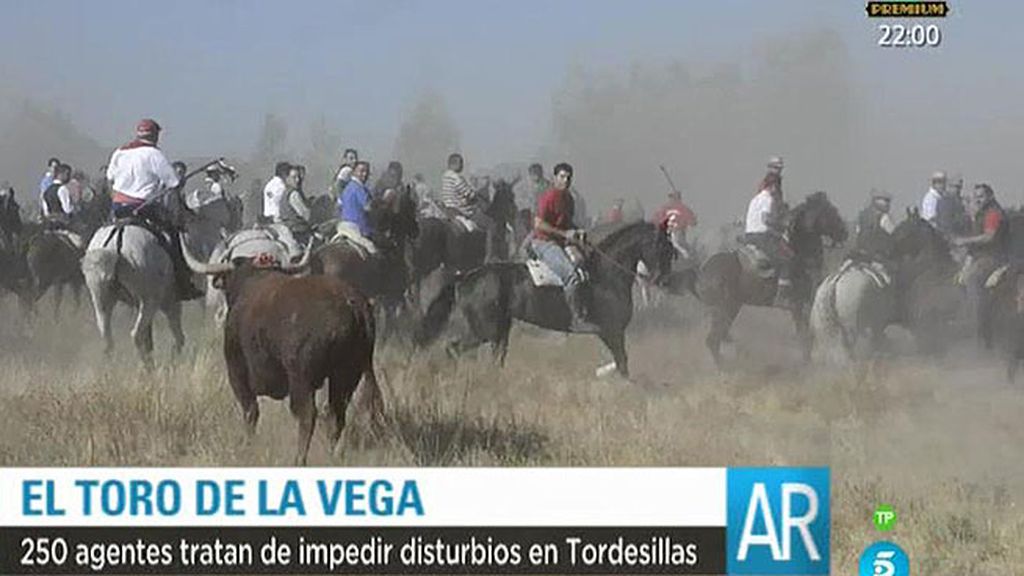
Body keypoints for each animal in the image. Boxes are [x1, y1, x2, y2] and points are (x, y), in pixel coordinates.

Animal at [182, 241, 382, 461]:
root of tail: (351, 303)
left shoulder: (237, 373)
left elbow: (250, 412)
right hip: (347, 374)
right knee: (335, 415)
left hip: (302, 378)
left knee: (307, 415)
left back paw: (299, 459)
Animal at [411, 219, 675, 377]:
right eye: (662, 247)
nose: (663, 280)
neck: (607, 274)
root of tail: (464, 277)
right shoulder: (611, 331)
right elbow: (622, 364)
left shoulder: (613, 333)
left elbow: (621, 364)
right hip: (484, 329)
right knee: (453, 348)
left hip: (499, 329)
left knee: (491, 357)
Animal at [688, 190, 847, 364]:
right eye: (832, 212)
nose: (844, 232)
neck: (800, 255)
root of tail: (702, 272)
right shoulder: (797, 305)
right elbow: (804, 337)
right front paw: (807, 364)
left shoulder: (804, 304)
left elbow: (806, 337)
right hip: (723, 309)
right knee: (713, 340)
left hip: (732, 307)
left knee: (717, 338)